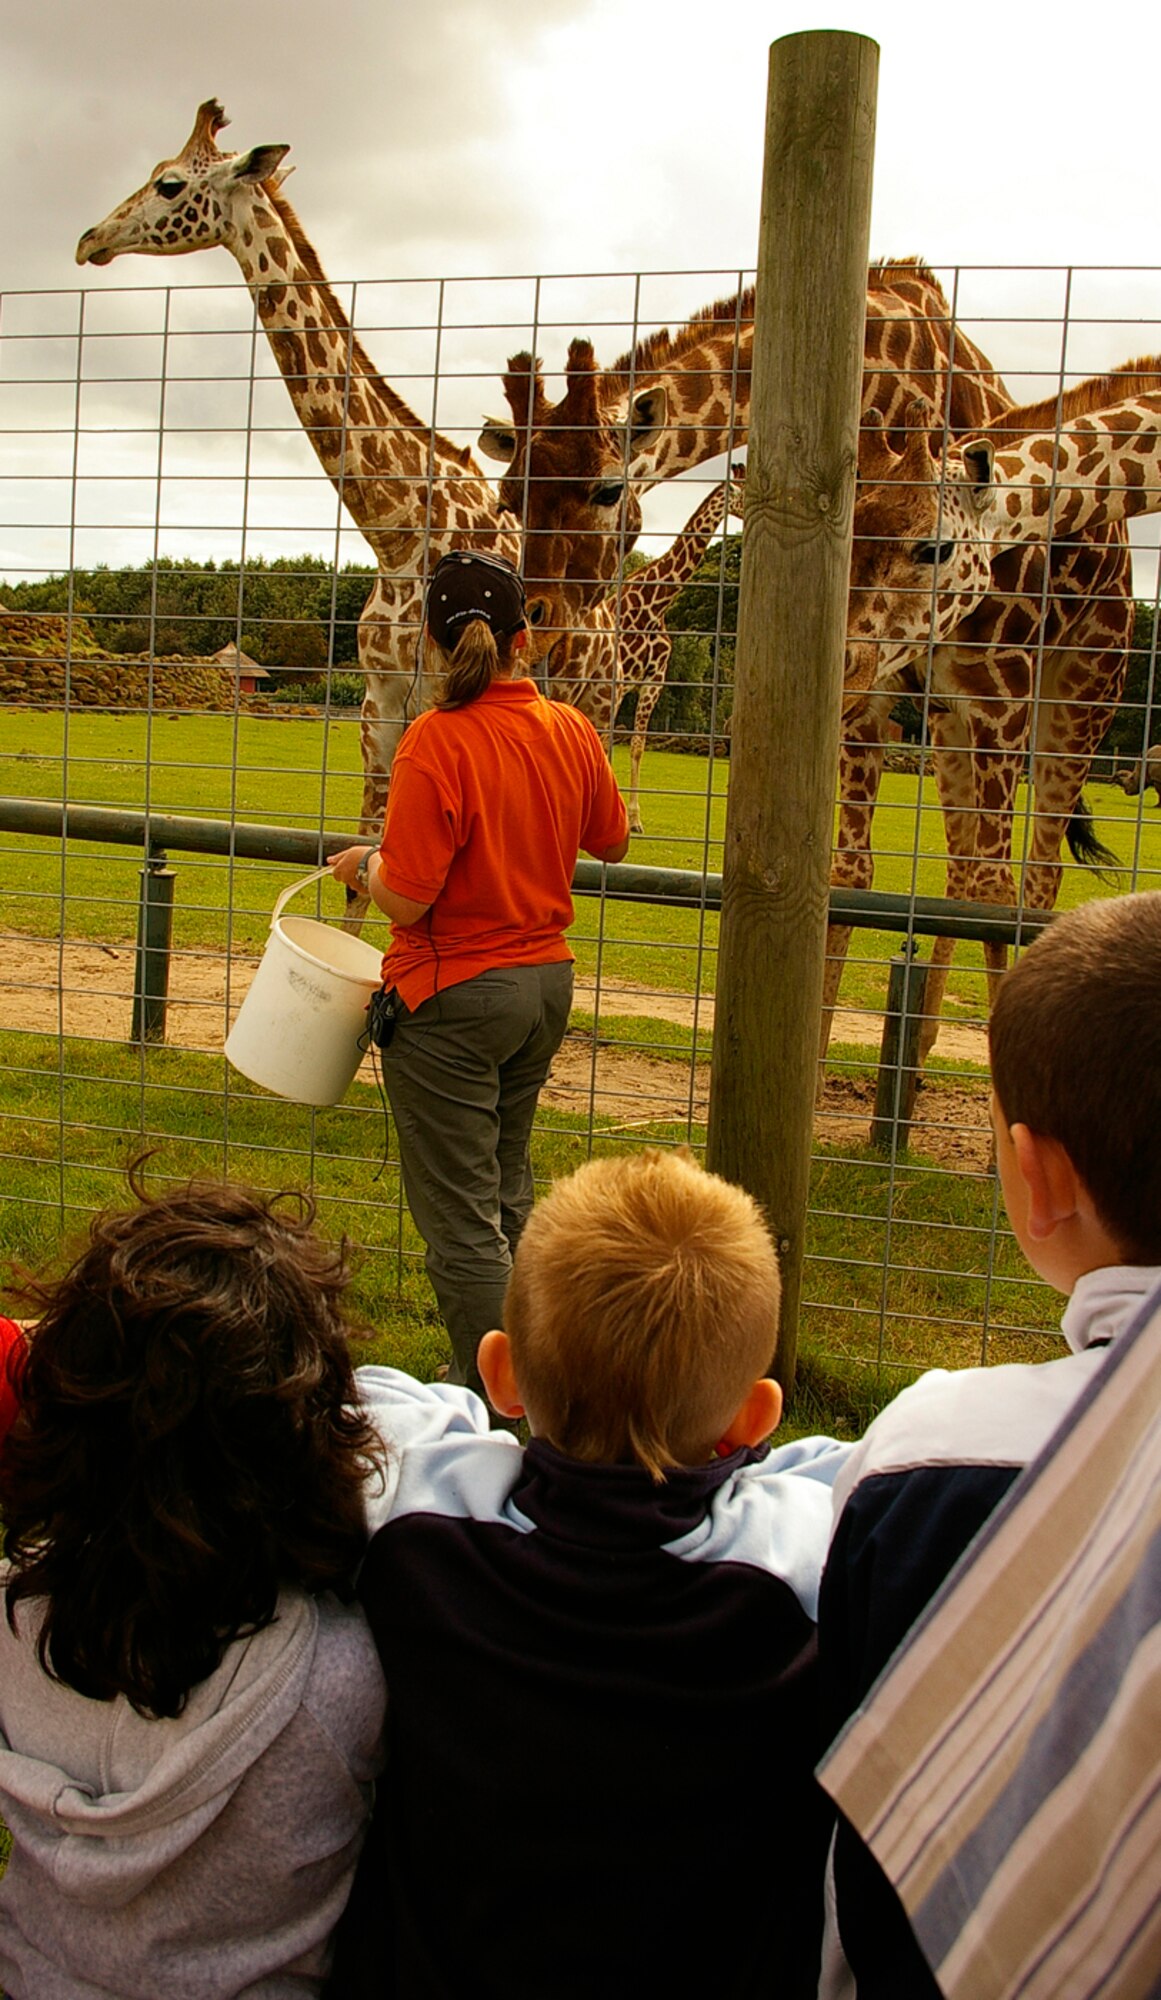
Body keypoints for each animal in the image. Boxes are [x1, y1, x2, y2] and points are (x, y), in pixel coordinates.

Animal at [77, 101, 516, 928]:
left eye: (170, 182)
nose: (89, 238)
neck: (397, 522)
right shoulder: (378, 709)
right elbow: (364, 872)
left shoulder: (438, 694)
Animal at [524, 470, 744, 828]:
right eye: (742, 490)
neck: (654, 606)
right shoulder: (618, 682)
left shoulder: (652, 680)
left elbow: (637, 745)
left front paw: (634, 818)